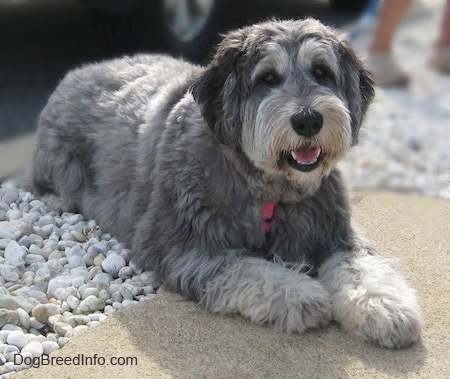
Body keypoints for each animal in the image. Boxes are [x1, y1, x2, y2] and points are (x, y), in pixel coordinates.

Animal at [32, 19, 422, 348]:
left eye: (322, 72)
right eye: (267, 78)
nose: (308, 120)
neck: (267, 187)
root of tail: (79, 71)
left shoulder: (333, 232)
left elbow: (359, 268)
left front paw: (385, 306)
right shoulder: (184, 246)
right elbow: (249, 267)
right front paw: (300, 293)